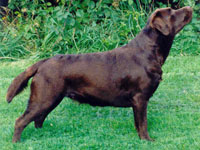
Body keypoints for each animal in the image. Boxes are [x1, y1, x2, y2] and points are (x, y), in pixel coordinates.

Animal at [7, 6, 193, 143]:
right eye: (172, 12)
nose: (190, 7)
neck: (149, 51)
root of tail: (42, 62)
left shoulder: (137, 101)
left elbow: (137, 123)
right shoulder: (140, 98)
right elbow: (143, 123)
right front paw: (147, 141)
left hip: (50, 98)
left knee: (38, 119)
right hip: (44, 98)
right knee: (20, 121)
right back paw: (17, 142)